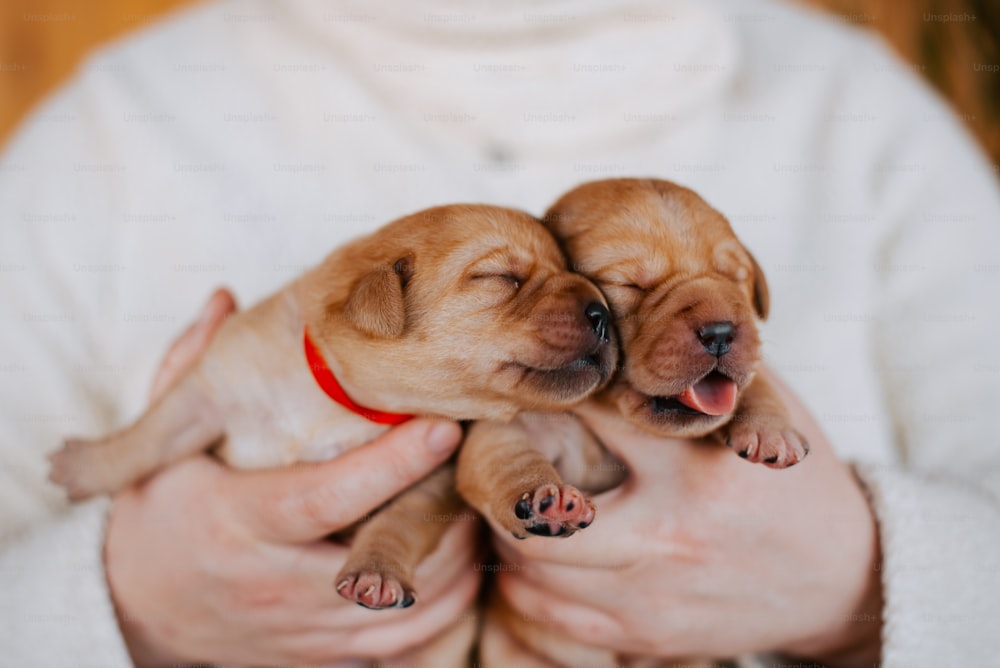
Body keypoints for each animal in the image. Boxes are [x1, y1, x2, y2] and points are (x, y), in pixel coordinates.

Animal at [48, 206, 616, 624]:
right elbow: (149, 435)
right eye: (501, 277)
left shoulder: (431, 475)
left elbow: (399, 520)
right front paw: (85, 465)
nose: (603, 314)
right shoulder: (210, 387)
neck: (340, 406)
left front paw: (376, 572)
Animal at [460, 177, 804, 668]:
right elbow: (502, 459)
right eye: (630, 285)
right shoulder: (504, 427)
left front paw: (770, 429)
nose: (721, 332)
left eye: (732, 277)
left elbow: (755, 384)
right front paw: (545, 501)